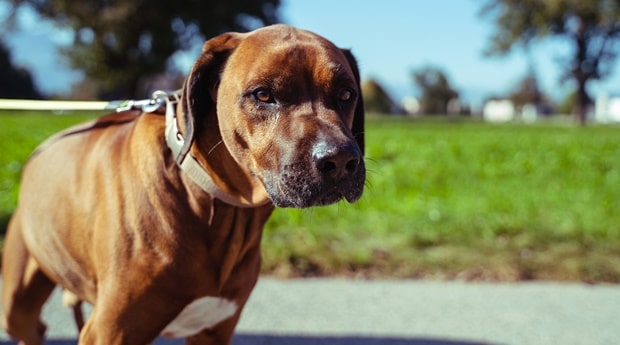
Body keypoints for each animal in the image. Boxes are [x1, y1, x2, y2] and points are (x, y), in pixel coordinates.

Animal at [2, 24, 366, 344]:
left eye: (346, 94)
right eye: (263, 94)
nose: (339, 161)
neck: (211, 205)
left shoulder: (215, 330)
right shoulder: (111, 332)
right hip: (16, 301)